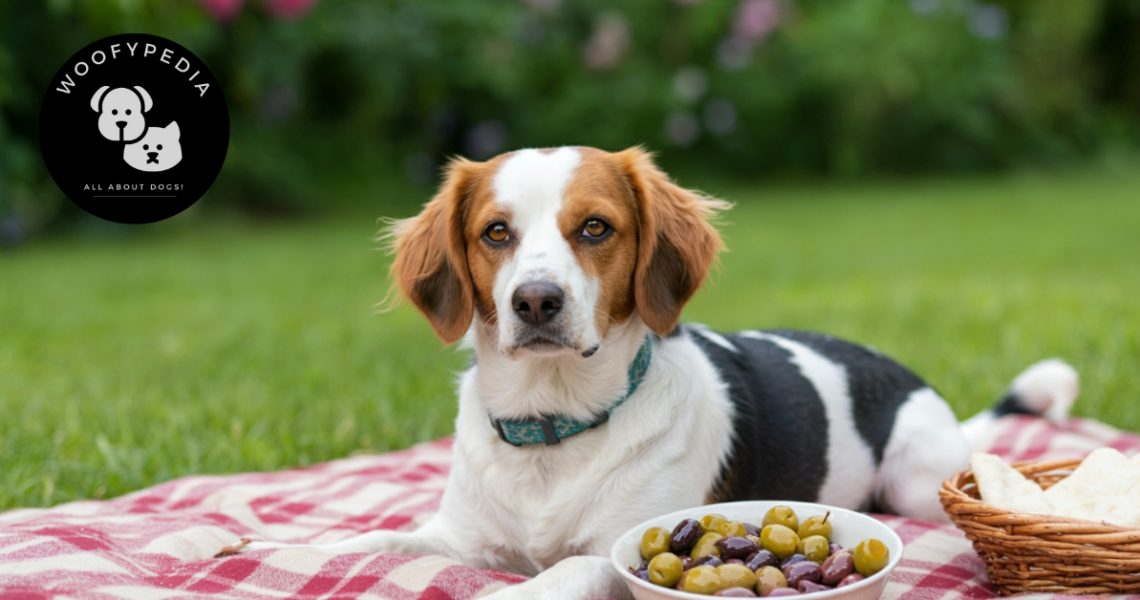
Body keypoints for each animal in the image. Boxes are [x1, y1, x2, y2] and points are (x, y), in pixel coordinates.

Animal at [217, 147, 1080, 600]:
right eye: (495, 232)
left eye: (596, 228)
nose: (536, 301)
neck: (553, 429)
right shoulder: (461, 534)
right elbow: (367, 539)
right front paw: (248, 546)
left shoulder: (610, 550)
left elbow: (548, 580)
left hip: (913, 482)